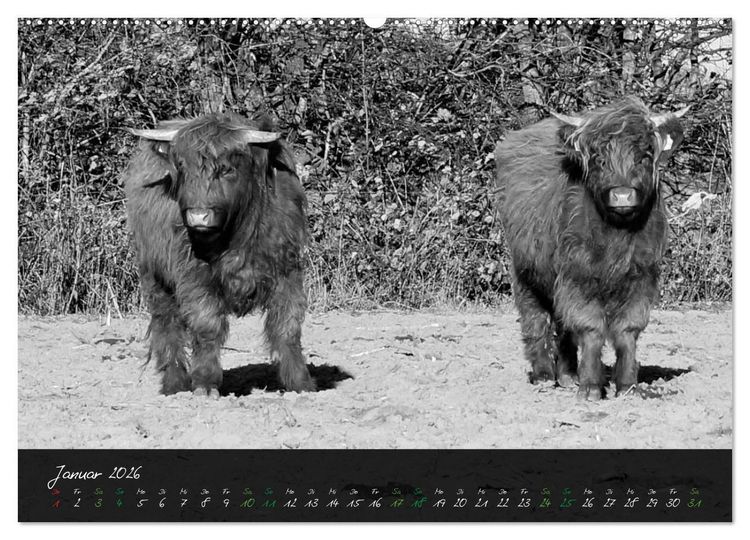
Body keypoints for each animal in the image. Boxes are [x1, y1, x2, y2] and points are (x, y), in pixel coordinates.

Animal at [123, 112, 316, 397]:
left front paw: (301, 382)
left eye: (227, 169)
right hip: (154, 278)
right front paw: (205, 383)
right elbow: (207, 325)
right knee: (167, 325)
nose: (198, 216)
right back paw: (174, 384)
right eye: (182, 168)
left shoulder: (287, 271)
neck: (238, 235)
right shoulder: (195, 277)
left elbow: (287, 325)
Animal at [494, 97, 688, 400]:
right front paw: (590, 387)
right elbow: (590, 328)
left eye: (644, 156)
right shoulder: (579, 276)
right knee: (535, 318)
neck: (617, 237)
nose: (622, 195)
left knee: (562, 324)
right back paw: (543, 375)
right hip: (525, 271)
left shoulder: (642, 276)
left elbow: (628, 330)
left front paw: (627, 386)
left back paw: (567, 375)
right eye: (599, 159)